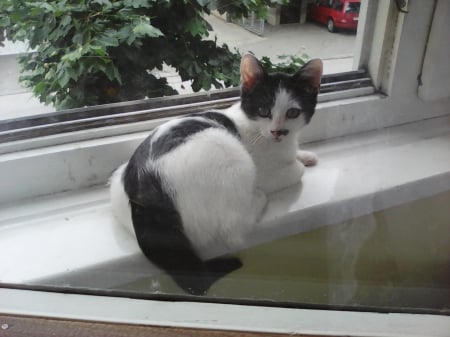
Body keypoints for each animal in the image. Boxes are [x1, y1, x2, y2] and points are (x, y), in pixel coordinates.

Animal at [110, 53, 324, 294]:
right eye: (264, 111)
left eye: (293, 113)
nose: (279, 131)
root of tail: (145, 186)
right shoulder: (264, 172)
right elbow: (294, 171)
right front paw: (298, 163)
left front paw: (304, 155)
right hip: (228, 151)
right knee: (234, 229)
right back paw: (257, 199)